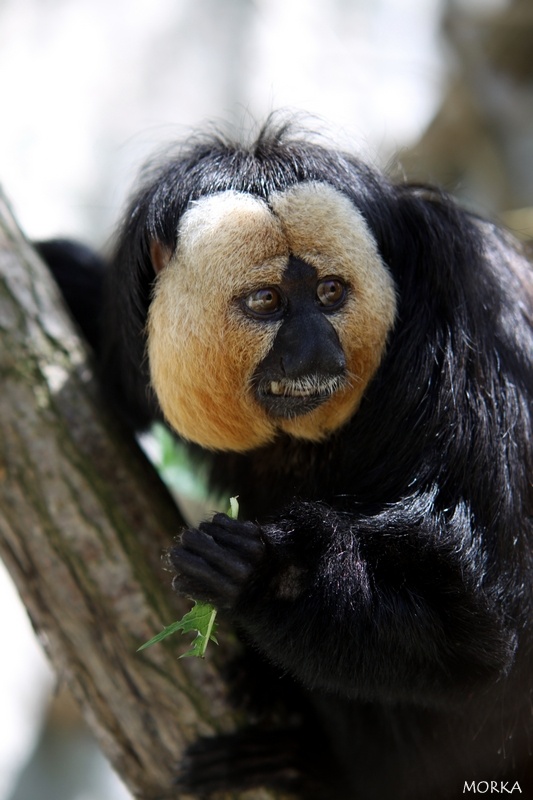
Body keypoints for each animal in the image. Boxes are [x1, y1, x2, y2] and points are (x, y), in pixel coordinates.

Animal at [44, 120, 532, 800]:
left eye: (329, 292)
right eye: (267, 301)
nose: (314, 351)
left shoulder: (472, 328)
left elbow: (473, 624)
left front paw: (266, 574)